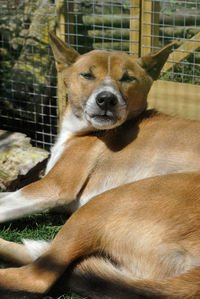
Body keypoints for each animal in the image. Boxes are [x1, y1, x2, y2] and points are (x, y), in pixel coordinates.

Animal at [0, 31, 200, 298]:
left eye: (127, 78)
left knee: (38, 276)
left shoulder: (53, 187)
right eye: (87, 75)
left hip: (102, 203)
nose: (106, 99)